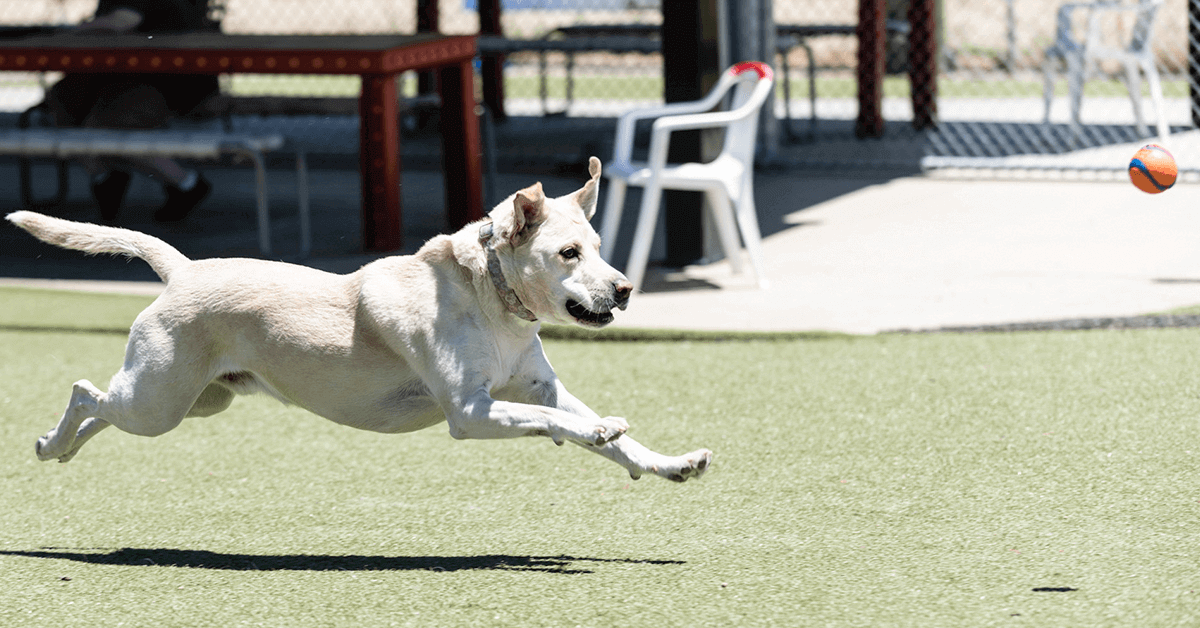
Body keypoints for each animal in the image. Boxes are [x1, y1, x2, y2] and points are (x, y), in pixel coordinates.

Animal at [9, 157, 710, 482]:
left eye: (599, 247)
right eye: (568, 254)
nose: (625, 290)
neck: (491, 301)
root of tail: (182, 270)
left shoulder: (539, 386)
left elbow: (598, 431)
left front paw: (669, 462)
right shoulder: (471, 411)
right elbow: (563, 423)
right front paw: (597, 430)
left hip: (195, 401)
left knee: (102, 409)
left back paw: (62, 448)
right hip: (159, 398)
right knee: (86, 392)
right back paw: (48, 443)